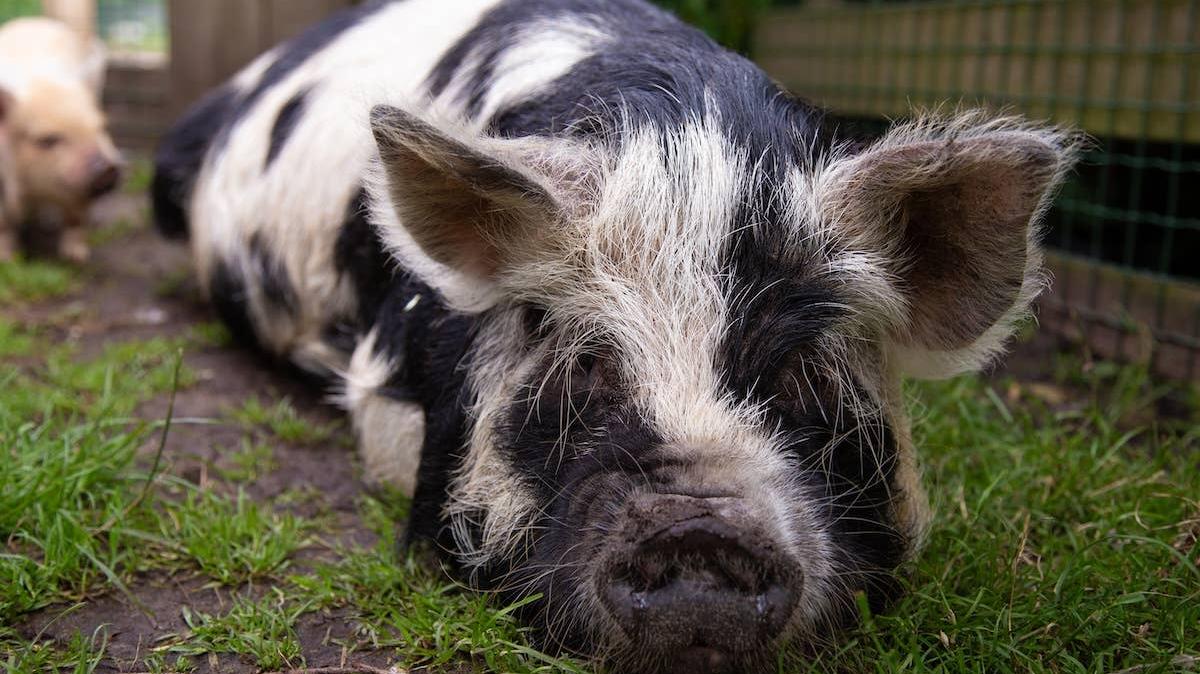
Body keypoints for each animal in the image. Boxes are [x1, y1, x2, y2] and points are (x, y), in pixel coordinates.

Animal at [0, 16, 122, 262]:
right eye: (47, 140)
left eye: (101, 128)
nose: (107, 168)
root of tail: (34, 20)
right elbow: (4, 223)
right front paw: (8, 259)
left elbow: (76, 215)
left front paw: (77, 257)